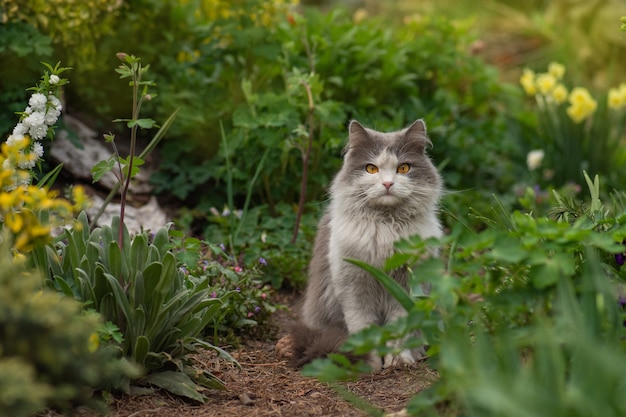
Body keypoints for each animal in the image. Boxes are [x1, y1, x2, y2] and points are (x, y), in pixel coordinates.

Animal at [286, 118, 442, 368]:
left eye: (403, 168)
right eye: (371, 168)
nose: (387, 183)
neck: (386, 226)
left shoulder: (404, 286)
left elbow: (400, 331)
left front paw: (398, 360)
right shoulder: (354, 286)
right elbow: (364, 329)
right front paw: (370, 363)